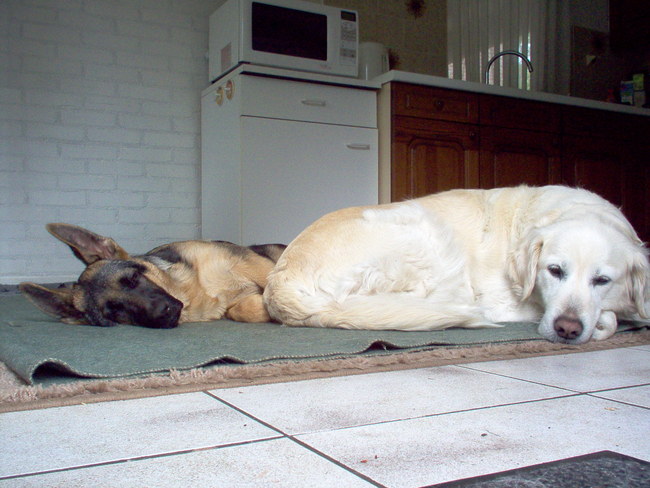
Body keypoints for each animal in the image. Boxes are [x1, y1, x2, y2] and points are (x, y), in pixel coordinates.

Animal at [19, 223, 285, 328]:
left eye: (132, 279)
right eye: (114, 310)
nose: (164, 313)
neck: (194, 289)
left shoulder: (248, 261)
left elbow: (271, 281)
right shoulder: (231, 305)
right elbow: (244, 309)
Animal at [264, 186, 649, 344]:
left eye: (602, 280)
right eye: (554, 271)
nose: (567, 329)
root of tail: (279, 283)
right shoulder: (508, 301)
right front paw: (607, 322)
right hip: (427, 232)